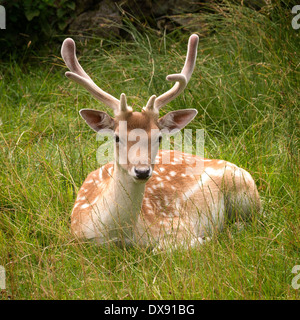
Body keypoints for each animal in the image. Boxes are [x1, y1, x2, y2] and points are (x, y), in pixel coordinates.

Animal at [60, 35, 260, 249]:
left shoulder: (176, 223)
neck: (118, 235)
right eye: (117, 136)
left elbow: (161, 248)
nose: (142, 171)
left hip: (246, 192)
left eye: (159, 137)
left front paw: (205, 238)